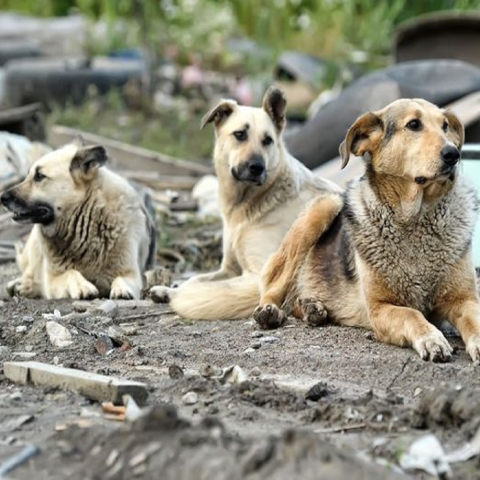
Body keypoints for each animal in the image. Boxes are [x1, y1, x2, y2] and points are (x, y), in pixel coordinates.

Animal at [0, 137, 156, 298]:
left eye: (39, 176)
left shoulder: (131, 273)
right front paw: (83, 286)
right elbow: (71, 272)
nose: (2, 198)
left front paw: (122, 288)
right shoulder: (53, 280)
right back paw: (22, 285)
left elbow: (121, 278)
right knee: (30, 273)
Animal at [151, 87, 342, 318]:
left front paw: (175, 293)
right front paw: (168, 290)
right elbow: (196, 279)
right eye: (240, 134)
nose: (257, 167)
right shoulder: (228, 268)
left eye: (268, 140)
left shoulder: (257, 272)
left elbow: (206, 287)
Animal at [255, 100, 480, 364]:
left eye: (445, 126)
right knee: (274, 285)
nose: (453, 154)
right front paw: (431, 339)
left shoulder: (463, 299)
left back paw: (313, 308)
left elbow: (475, 320)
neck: (416, 219)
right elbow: (412, 315)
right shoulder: (380, 308)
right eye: (414, 124)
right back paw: (270, 311)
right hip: (325, 206)